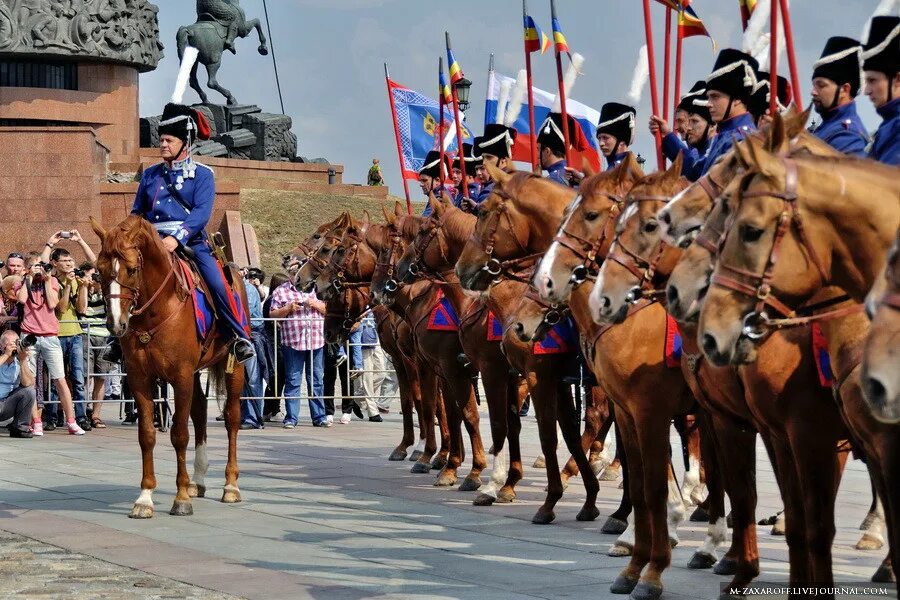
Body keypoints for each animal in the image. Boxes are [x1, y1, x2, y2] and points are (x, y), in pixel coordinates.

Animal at [91, 214, 246, 516]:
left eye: (131, 270)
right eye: (98, 271)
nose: (116, 324)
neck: (156, 310)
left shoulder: (180, 375)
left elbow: (180, 434)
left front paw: (181, 498)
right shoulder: (140, 378)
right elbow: (147, 434)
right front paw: (145, 497)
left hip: (234, 366)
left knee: (232, 418)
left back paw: (230, 485)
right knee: (200, 413)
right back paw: (198, 480)